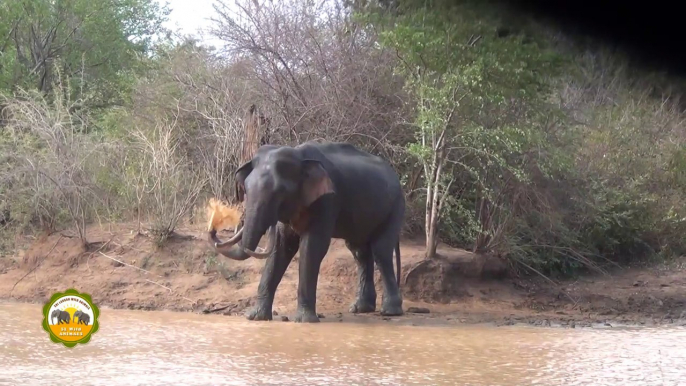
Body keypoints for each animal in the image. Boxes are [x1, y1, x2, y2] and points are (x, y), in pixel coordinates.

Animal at [207, 142, 406, 322]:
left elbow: (312, 247)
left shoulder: (327, 200)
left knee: (381, 251)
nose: (214, 227)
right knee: (360, 252)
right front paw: (255, 318)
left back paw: (390, 312)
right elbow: (281, 248)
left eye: (280, 192)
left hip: (395, 207)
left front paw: (304, 320)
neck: (299, 156)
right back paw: (360, 309)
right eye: (245, 189)